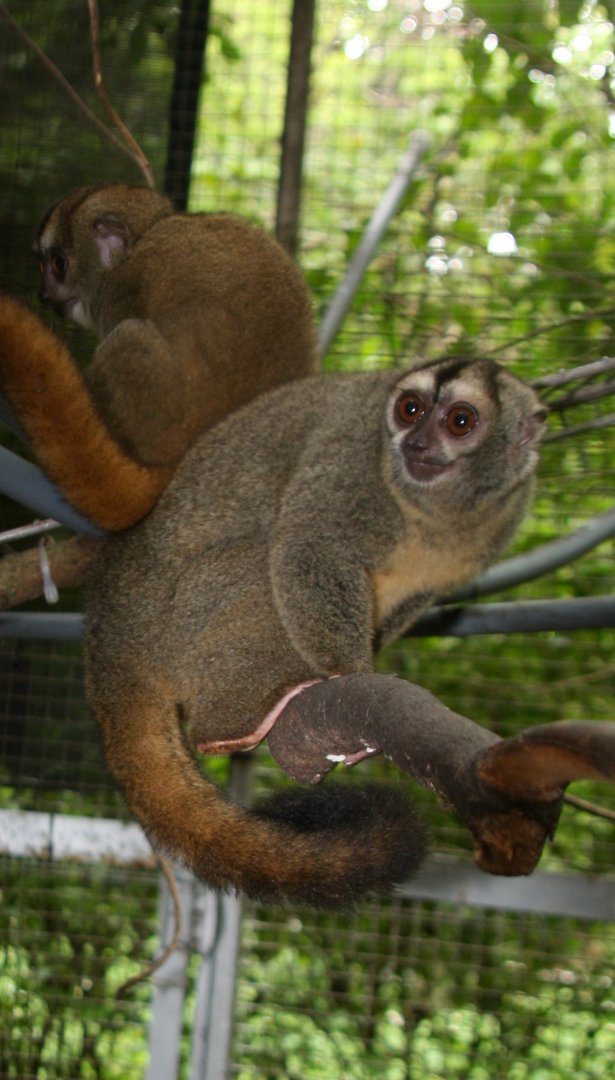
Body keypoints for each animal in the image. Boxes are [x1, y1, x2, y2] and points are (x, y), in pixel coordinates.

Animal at [0, 182, 317, 530]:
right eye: (41, 266)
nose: (44, 295)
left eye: (57, 264)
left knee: (130, 335)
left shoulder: (120, 293)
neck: (140, 242)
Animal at [82, 356, 547, 906]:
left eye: (459, 421)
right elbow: (310, 545)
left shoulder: (500, 519)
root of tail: (110, 632)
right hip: (176, 618)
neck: (432, 511)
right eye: (410, 410)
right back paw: (233, 725)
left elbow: (407, 602)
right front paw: (351, 673)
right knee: (265, 559)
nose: (415, 443)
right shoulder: (349, 461)